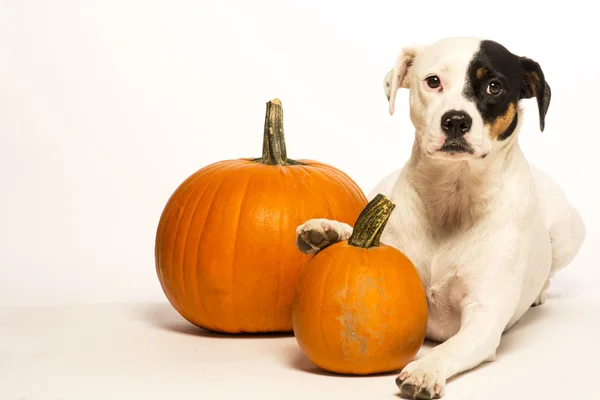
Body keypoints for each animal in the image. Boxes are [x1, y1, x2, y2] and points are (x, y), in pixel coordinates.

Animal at [296, 36, 584, 396]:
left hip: (568, 233)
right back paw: (328, 232)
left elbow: (451, 347)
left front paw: (425, 369)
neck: (453, 196)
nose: (456, 120)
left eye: (494, 86)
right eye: (433, 81)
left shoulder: (485, 315)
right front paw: (330, 231)